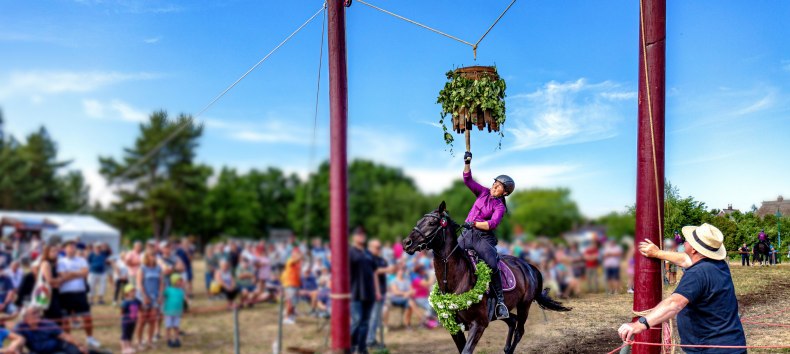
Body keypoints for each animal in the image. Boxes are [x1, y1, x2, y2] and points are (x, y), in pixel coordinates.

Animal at [406, 202, 572, 354]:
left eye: (432, 223)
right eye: (418, 222)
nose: (406, 243)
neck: (456, 280)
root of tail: (529, 266)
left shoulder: (479, 324)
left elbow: (467, 351)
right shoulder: (454, 327)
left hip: (524, 305)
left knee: (520, 331)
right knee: (512, 320)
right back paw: (506, 348)